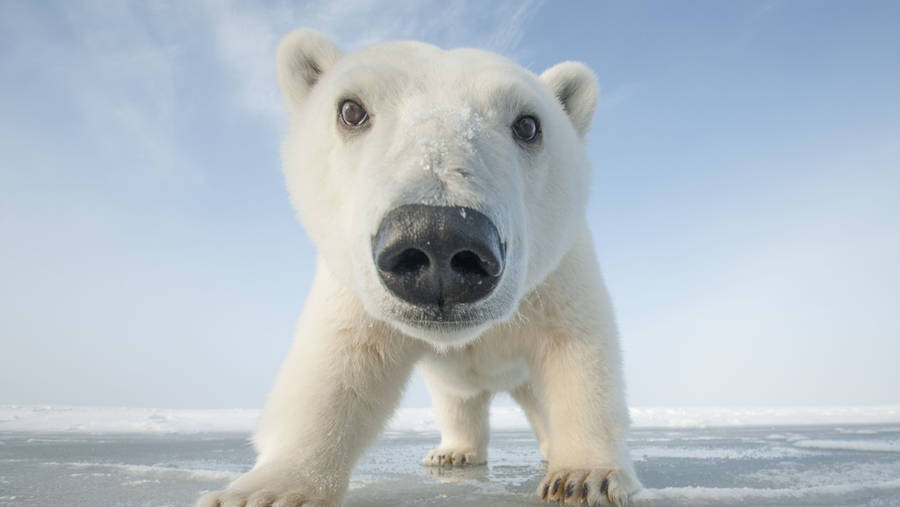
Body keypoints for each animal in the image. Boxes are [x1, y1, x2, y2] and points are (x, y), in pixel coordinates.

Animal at [198, 29, 641, 507]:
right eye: (350, 110)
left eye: (528, 125)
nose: (439, 238)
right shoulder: (354, 295)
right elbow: (337, 367)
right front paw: (264, 491)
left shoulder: (556, 280)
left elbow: (578, 355)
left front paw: (586, 476)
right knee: (458, 400)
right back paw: (453, 452)